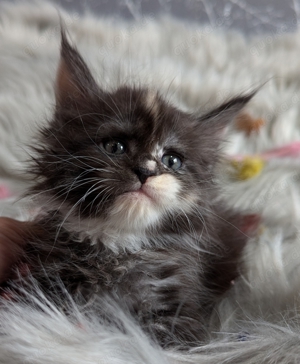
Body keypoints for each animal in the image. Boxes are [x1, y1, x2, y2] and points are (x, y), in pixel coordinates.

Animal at [8, 31, 253, 346]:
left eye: (171, 160)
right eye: (115, 146)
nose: (145, 171)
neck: (119, 246)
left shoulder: (176, 302)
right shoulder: (45, 280)